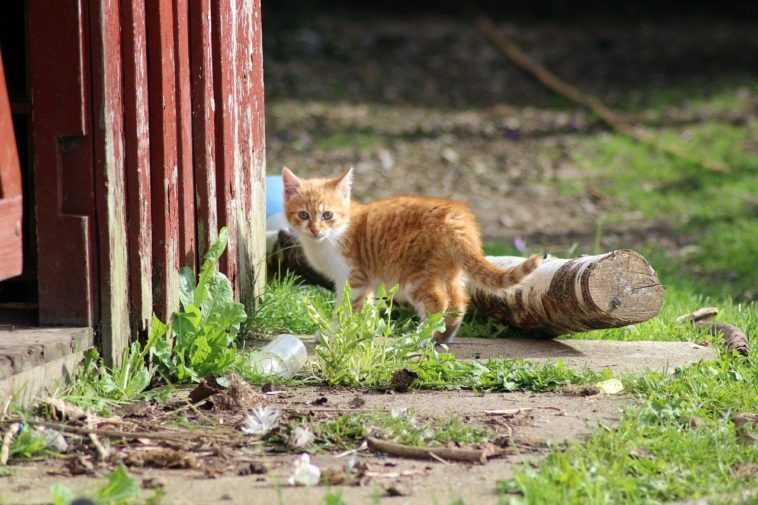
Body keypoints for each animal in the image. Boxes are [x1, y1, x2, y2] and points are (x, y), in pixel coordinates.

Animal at [284, 166, 540, 342]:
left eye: (327, 215)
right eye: (304, 215)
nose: (314, 229)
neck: (333, 236)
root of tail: (456, 218)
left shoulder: (352, 276)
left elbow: (345, 307)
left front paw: (333, 333)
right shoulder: (366, 281)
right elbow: (365, 307)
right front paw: (362, 330)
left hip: (415, 275)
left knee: (438, 303)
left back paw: (419, 338)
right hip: (449, 272)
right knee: (458, 302)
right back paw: (442, 337)